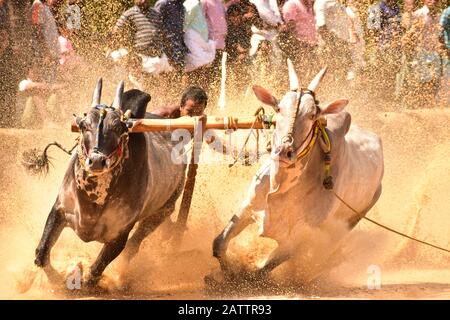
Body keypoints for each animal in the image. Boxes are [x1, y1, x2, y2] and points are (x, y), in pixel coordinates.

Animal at [32, 80, 185, 288]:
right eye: (84, 125)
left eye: (118, 128)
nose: (96, 161)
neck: (92, 202)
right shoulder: (60, 210)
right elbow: (41, 253)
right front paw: (57, 281)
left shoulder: (120, 233)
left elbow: (96, 270)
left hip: (163, 210)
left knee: (134, 246)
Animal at [211, 61, 384, 278]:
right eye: (278, 108)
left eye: (312, 115)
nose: (284, 151)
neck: (282, 188)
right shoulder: (248, 206)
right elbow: (219, 244)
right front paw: (225, 274)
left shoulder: (299, 238)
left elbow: (261, 272)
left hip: (353, 219)